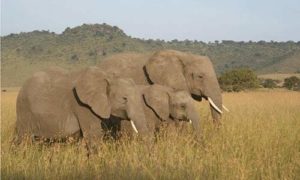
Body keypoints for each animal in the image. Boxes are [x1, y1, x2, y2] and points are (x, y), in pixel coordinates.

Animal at [15, 66, 149, 148]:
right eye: (124, 99)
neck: (107, 76)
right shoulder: (82, 106)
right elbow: (93, 137)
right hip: (24, 111)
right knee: (23, 140)